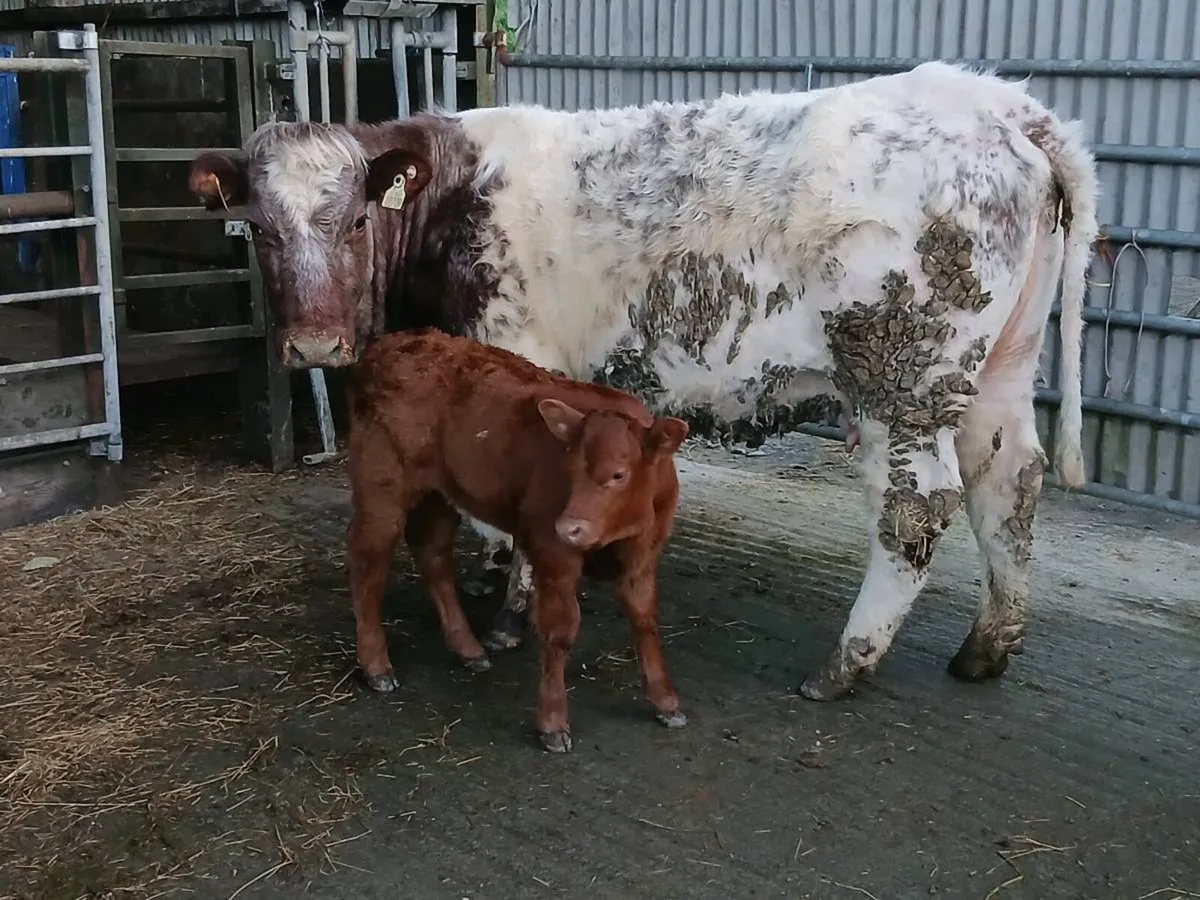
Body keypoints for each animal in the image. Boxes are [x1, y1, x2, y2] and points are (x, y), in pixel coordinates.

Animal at [189, 60, 1099, 702]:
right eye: (259, 229)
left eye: (352, 221)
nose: (314, 342)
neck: (451, 201)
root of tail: (996, 101)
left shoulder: (517, 350)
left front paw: (512, 614)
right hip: (998, 373)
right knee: (1009, 482)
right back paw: (987, 646)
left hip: (901, 378)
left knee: (918, 507)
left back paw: (844, 665)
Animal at [346, 328, 689, 751]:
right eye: (569, 468)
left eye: (619, 474)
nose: (569, 527)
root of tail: (390, 343)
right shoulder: (553, 552)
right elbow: (560, 630)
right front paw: (553, 722)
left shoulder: (644, 554)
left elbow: (645, 621)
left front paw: (665, 701)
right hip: (381, 485)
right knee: (368, 560)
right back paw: (376, 665)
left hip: (442, 492)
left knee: (432, 551)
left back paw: (467, 648)